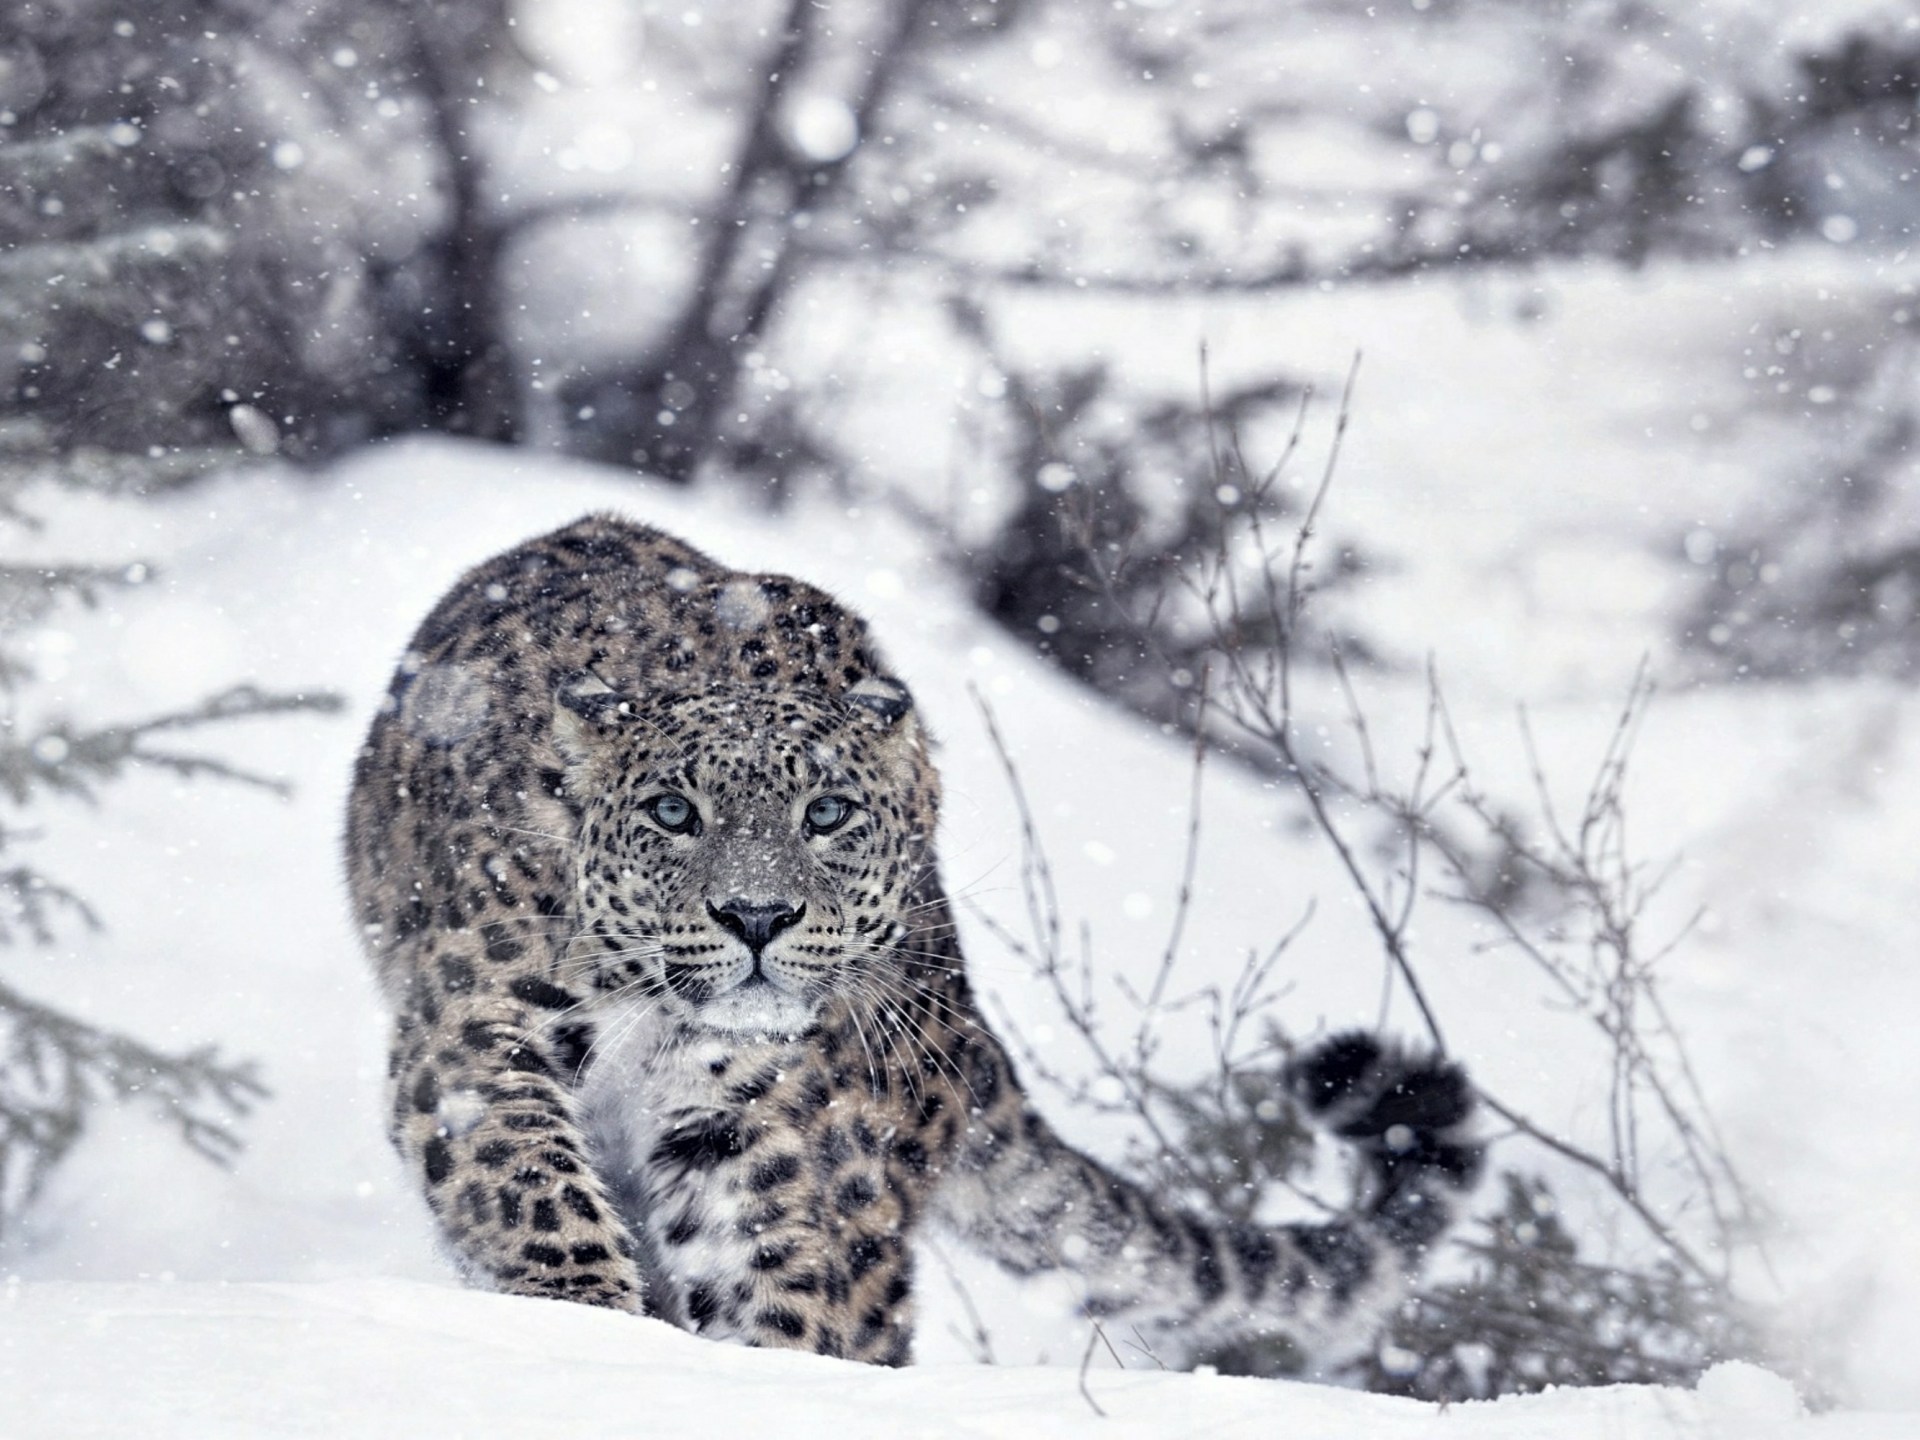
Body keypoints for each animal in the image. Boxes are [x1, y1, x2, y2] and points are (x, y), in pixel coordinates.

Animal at [344, 513, 1482, 1370]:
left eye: (828, 813)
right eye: (673, 812)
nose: (757, 917)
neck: (652, 1019)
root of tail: (964, 1026)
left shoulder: (759, 1128)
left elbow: (785, 1289)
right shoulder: (477, 1028)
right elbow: (527, 1179)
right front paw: (584, 1315)